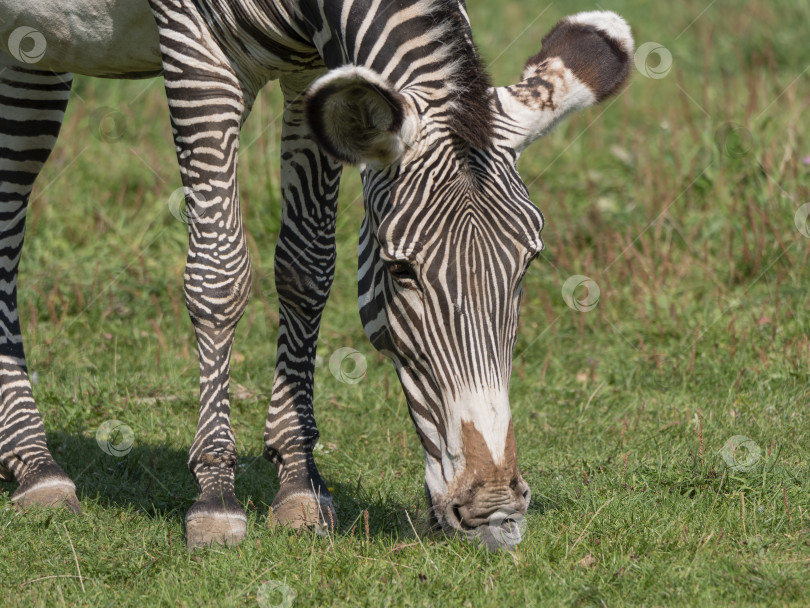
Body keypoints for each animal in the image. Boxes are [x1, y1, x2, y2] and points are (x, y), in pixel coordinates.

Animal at [0, 0, 632, 548]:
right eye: (400, 269)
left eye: (528, 263)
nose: (496, 511)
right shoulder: (194, 46)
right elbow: (219, 271)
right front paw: (216, 497)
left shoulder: (315, 70)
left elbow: (307, 265)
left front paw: (300, 483)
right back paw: (38, 467)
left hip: (34, 47)